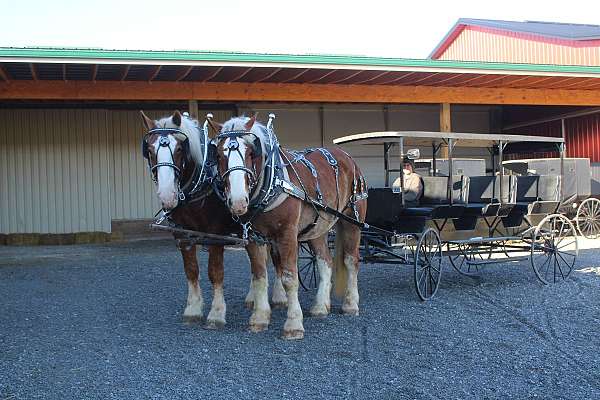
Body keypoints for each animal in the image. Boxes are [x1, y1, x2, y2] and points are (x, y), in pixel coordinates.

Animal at [141, 109, 282, 328]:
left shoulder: (215, 235)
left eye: (179, 148)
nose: (167, 196)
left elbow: (215, 272)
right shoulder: (182, 234)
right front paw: (192, 309)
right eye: (148, 150)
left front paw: (216, 314)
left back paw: (279, 297)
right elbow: (191, 270)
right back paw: (253, 298)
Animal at [213, 114, 368, 340]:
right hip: (317, 228)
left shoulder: (287, 235)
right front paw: (259, 318)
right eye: (217, 155)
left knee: (351, 261)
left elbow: (289, 278)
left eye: (251, 152)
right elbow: (259, 276)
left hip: (352, 221)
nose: (239, 201)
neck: (271, 184)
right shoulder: (254, 238)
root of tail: (347, 157)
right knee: (325, 261)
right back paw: (320, 306)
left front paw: (293, 324)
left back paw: (350, 304)